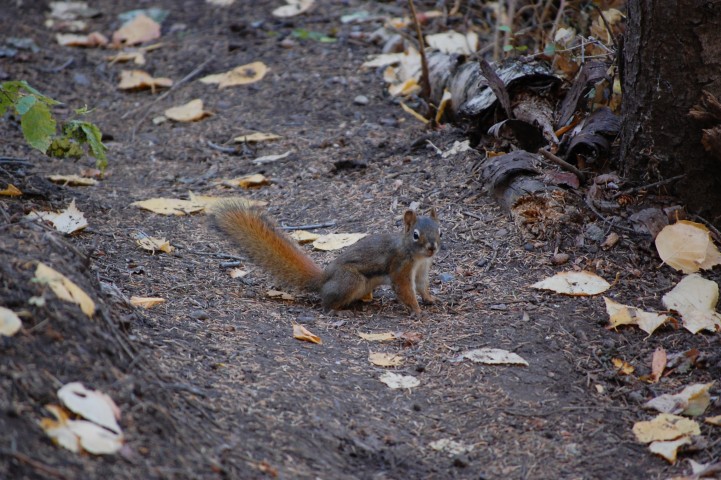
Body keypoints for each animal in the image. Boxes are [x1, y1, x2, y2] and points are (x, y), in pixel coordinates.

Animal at [211, 200, 441, 314]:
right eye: (416, 235)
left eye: (440, 230)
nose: (432, 248)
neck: (417, 256)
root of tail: (325, 279)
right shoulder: (400, 267)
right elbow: (405, 290)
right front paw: (417, 310)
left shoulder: (422, 269)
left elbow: (422, 286)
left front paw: (431, 299)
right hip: (351, 280)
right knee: (326, 303)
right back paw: (339, 311)